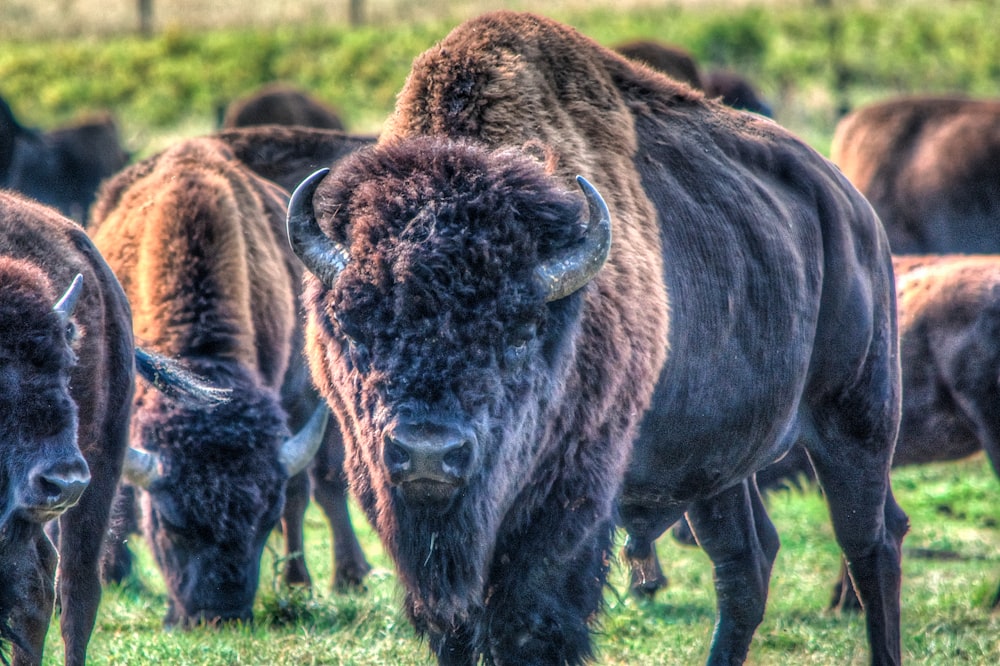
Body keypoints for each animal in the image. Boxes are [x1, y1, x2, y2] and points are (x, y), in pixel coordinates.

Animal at [284, 10, 908, 664]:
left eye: (520, 333)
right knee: (746, 564)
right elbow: (453, 625)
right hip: (720, 468)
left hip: (856, 422)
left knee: (872, 543)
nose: (429, 452)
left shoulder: (564, 510)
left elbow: (527, 624)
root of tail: (852, 208)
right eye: (355, 326)